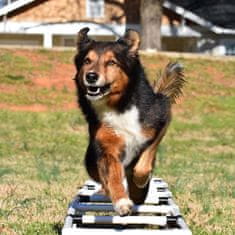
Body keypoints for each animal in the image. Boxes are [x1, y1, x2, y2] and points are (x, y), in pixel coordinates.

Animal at [74, 27, 185, 215]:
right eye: (87, 61)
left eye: (112, 62)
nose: (91, 76)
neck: (119, 105)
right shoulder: (106, 145)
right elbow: (113, 175)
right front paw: (121, 202)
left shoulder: (160, 117)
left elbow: (147, 156)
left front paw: (140, 177)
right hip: (91, 161)